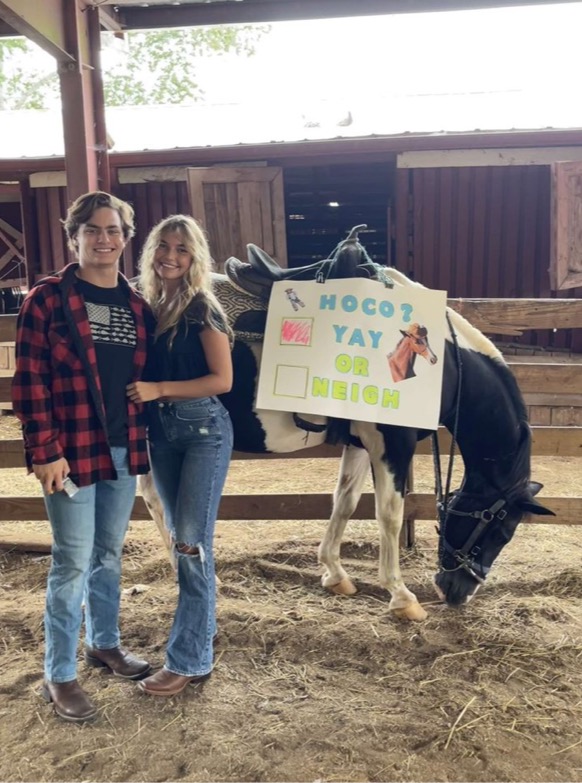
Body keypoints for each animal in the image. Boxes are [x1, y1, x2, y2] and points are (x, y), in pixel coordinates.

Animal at [139, 230, 556, 620]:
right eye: (502, 529)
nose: (459, 593)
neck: (449, 371)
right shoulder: (393, 444)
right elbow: (389, 513)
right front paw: (401, 596)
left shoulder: (361, 442)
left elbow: (345, 501)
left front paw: (335, 573)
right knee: (156, 499)